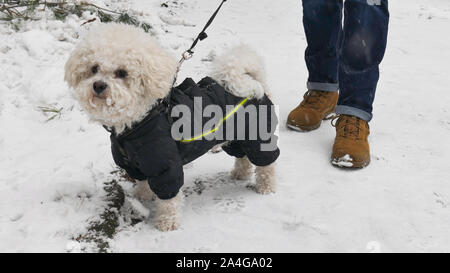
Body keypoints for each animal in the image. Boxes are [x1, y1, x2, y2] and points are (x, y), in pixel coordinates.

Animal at [65, 23, 280, 232]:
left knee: (266, 164)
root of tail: (254, 82)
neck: (138, 122)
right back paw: (240, 174)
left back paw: (266, 187)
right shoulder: (135, 165)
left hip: (258, 136)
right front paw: (143, 196)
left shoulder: (166, 166)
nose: (98, 85)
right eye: (94, 68)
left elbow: (169, 198)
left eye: (122, 73)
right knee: (243, 157)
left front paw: (166, 223)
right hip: (235, 138)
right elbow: (143, 182)